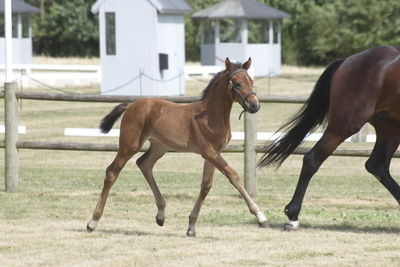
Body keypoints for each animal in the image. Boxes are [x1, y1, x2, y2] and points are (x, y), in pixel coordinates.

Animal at [87, 58, 268, 237]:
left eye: (251, 82)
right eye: (237, 83)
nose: (254, 105)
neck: (210, 115)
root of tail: (131, 105)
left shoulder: (214, 153)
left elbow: (206, 185)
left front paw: (191, 227)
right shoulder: (209, 152)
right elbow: (234, 176)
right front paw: (261, 217)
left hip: (159, 147)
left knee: (144, 164)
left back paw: (160, 215)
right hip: (129, 145)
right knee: (112, 172)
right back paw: (93, 221)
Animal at [258, 45, 400, 231]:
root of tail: (348, 60)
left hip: (390, 128)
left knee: (377, 165)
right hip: (345, 124)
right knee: (312, 159)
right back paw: (293, 216)